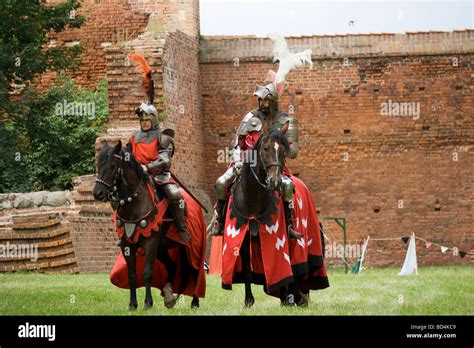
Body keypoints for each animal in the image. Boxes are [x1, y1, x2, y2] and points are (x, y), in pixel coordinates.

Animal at [93, 141, 199, 310]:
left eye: (112, 165)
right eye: (98, 164)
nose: (98, 193)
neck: (133, 203)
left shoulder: (150, 243)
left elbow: (147, 272)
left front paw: (148, 303)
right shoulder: (127, 244)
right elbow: (132, 275)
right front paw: (132, 304)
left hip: (191, 248)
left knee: (196, 270)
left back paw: (195, 301)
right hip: (163, 249)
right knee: (173, 266)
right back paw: (170, 297)